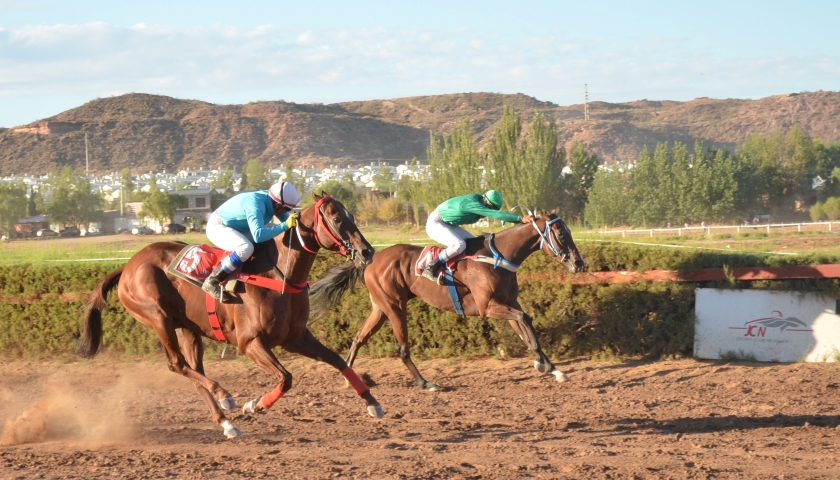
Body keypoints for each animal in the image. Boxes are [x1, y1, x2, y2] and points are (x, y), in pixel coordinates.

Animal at [78, 192, 380, 438]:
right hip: (157, 317)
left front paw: (373, 403)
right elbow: (286, 378)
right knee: (176, 364)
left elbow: (337, 361)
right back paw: (226, 397)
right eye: (337, 219)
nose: (367, 251)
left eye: (352, 215)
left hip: (187, 327)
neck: (279, 275)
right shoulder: (250, 342)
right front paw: (253, 405)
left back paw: (226, 422)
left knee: (193, 369)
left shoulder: (295, 338)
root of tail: (128, 265)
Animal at [310, 212, 584, 392]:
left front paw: (551, 368)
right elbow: (525, 320)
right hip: (395, 306)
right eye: (561, 233)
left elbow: (526, 332)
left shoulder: (508, 303)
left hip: (380, 308)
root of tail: (370, 260)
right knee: (402, 347)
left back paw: (349, 378)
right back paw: (425, 383)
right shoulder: (488, 307)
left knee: (359, 337)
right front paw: (545, 365)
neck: (498, 257)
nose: (578, 263)